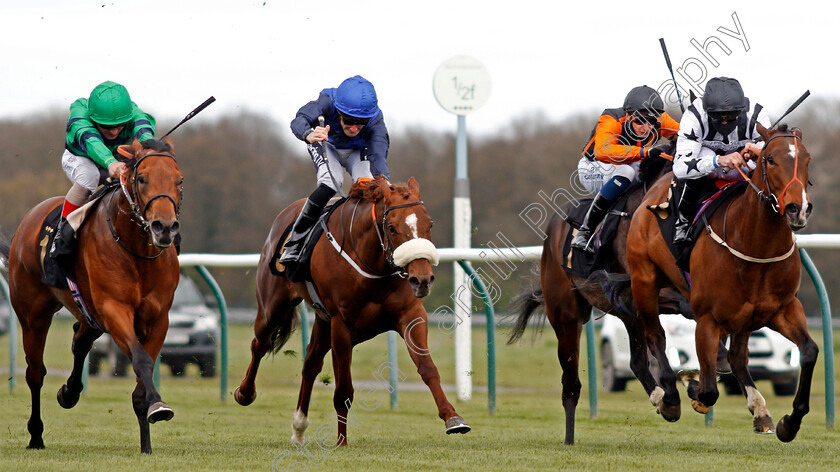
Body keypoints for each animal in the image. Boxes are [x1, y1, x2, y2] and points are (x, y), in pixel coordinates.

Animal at [0, 138, 182, 456]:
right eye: (142, 178)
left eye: (179, 180)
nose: (165, 227)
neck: (137, 252)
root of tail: (28, 220)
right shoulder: (114, 309)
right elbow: (141, 360)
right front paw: (159, 407)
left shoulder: (158, 319)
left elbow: (141, 374)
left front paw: (147, 442)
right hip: (33, 315)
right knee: (35, 373)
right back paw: (36, 436)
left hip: (89, 314)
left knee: (79, 340)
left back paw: (69, 392)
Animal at [236, 176, 470, 446]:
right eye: (392, 228)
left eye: (429, 224)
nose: (422, 280)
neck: (372, 265)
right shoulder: (341, 326)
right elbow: (344, 390)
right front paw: (341, 441)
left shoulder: (411, 314)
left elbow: (428, 368)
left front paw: (453, 418)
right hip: (272, 306)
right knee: (260, 345)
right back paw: (245, 393)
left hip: (322, 320)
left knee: (310, 363)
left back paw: (299, 428)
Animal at [506, 152, 688, 446]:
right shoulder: (638, 286)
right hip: (567, 318)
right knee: (570, 384)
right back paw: (569, 439)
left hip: (628, 316)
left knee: (636, 362)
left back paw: (661, 397)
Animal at [628, 123, 816, 440]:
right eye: (770, 159)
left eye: (806, 159)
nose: (796, 209)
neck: (754, 245)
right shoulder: (707, 320)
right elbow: (708, 392)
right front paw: (690, 385)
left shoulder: (784, 309)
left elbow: (809, 352)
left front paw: (789, 423)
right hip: (643, 280)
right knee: (656, 336)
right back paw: (668, 398)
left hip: (745, 318)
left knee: (739, 356)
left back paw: (760, 411)